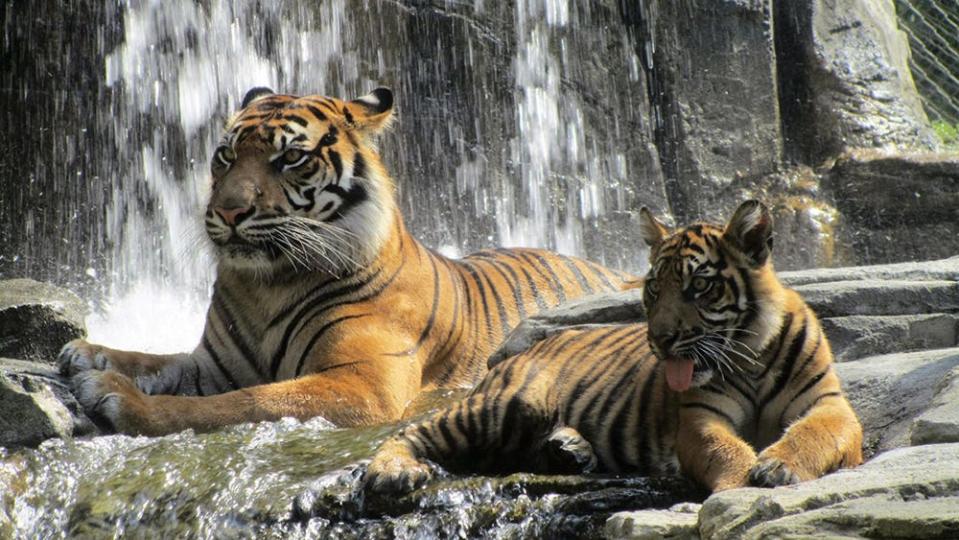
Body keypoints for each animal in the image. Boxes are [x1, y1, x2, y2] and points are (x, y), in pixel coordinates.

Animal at [58, 87, 632, 434]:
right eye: (226, 155)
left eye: (290, 157)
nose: (228, 211)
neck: (266, 284)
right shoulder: (212, 364)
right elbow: (156, 359)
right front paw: (87, 354)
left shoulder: (364, 382)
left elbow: (244, 404)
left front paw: (117, 397)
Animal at [364, 199, 868, 494]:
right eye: (654, 289)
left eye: (698, 286)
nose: (661, 340)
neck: (750, 355)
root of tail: (513, 353)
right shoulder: (699, 418)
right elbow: (724, 450)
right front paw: (742, 482)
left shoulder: (830, 404)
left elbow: (815, 434)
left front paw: (780, 465)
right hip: (503, 405)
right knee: (412, 432)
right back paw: (391, 471)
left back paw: (569, 448)